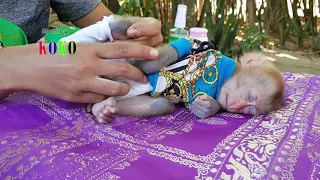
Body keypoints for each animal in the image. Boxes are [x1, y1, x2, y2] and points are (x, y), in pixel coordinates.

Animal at [58, 15, 284, 124]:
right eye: (250, 95)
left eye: (249, 109)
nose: (237, 106)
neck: (223, 76)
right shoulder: (201, 49)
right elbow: (162, 57)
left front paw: (208, 107)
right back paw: (120, 26)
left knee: (160, 104)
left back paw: (101, 108)